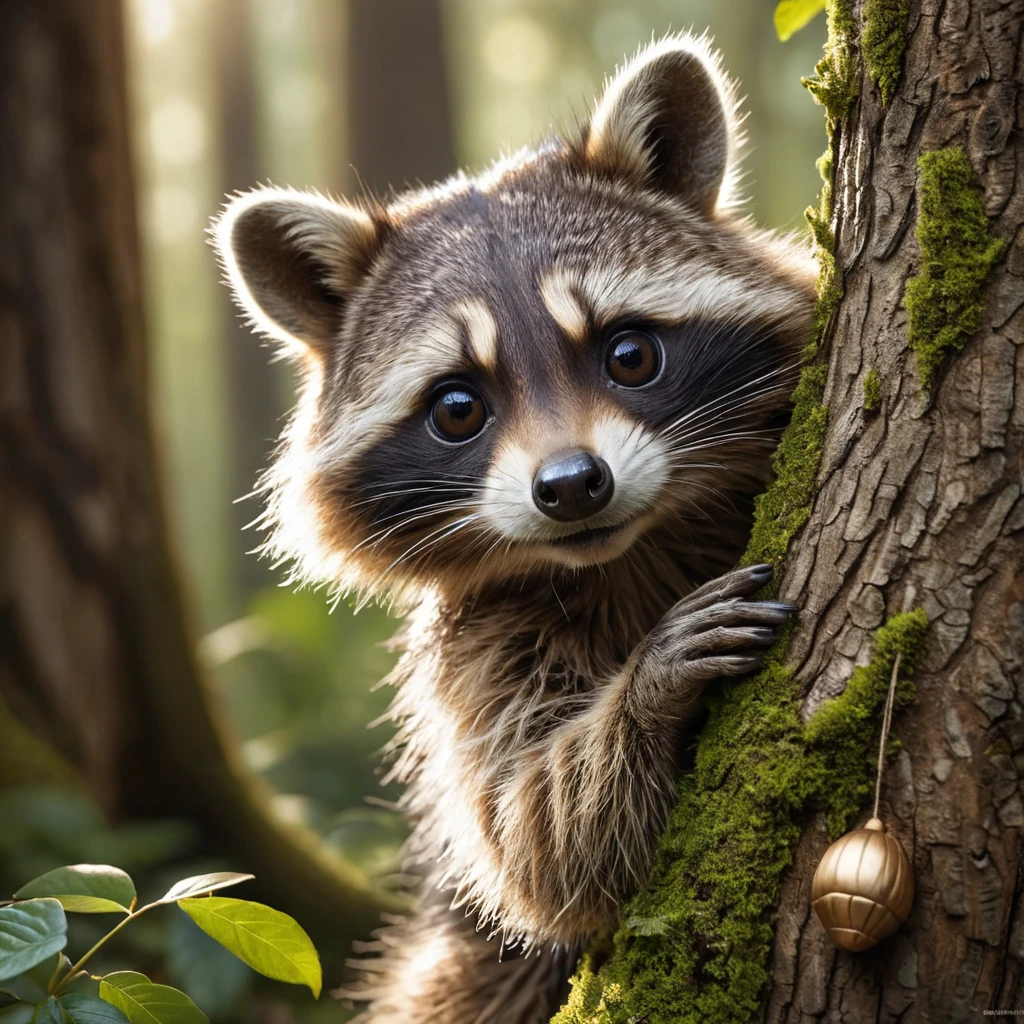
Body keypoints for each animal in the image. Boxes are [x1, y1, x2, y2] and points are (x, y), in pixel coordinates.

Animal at [214, 32, 815, 1024]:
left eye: (629, 355)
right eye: (458, 407)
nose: (571, 487)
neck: (626, 551)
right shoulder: (472, 650)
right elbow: (537, 845)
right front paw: (649, 685)